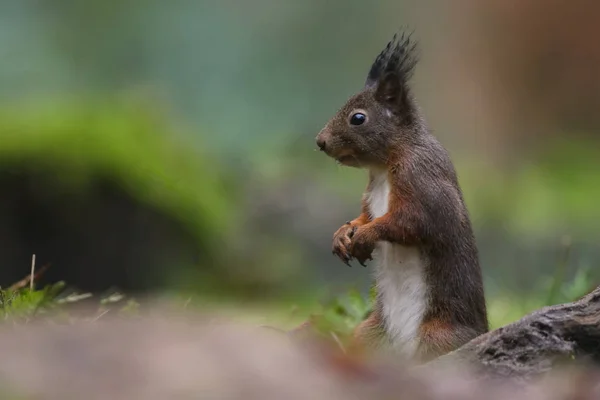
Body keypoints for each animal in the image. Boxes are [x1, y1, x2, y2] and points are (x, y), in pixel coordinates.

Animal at [314, 32, 488, 362]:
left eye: (358, 118)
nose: (320, 142)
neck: (383, 168)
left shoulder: (422, 181)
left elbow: (411, 221)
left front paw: (366, 235)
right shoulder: (370, 197)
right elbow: (364, 216)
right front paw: (343, 233)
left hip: (436, 336)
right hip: (370, 334)